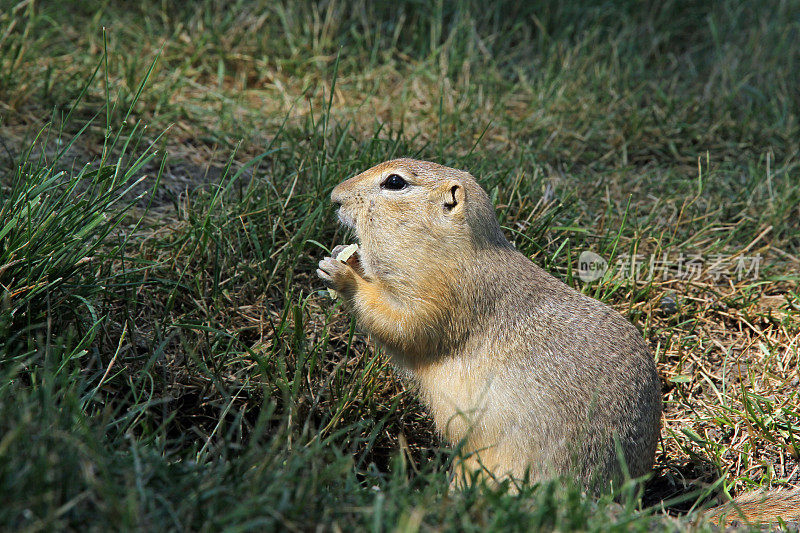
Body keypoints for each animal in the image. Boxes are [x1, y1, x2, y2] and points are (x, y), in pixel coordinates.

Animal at [316, 158, 800, 524]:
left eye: (395, 182)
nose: (334, 196)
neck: (453, 248)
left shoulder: (445, 293)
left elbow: (405, 324)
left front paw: (343, 273)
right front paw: (345, 258)